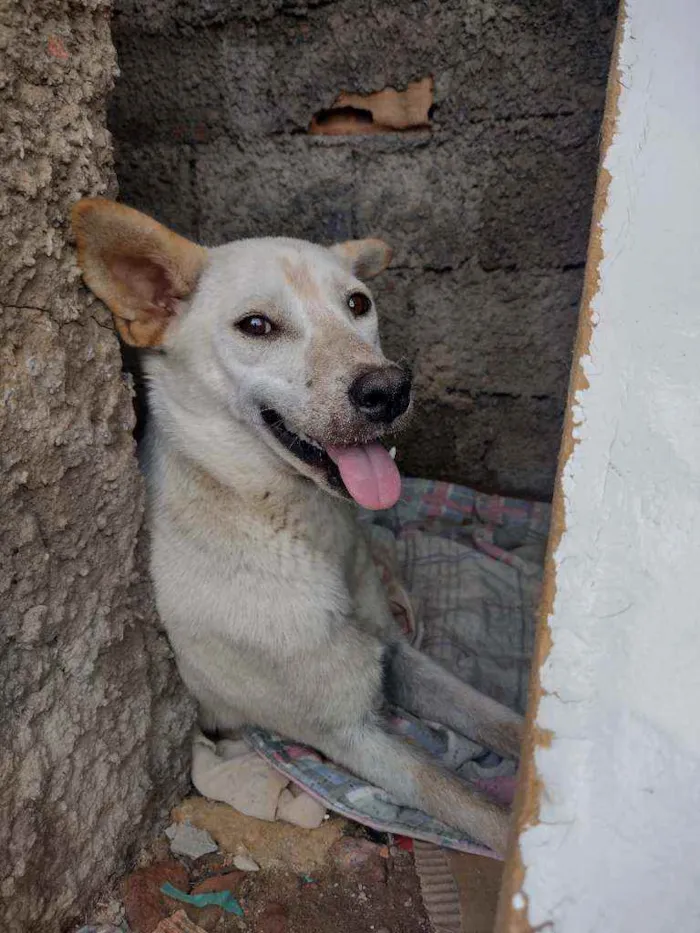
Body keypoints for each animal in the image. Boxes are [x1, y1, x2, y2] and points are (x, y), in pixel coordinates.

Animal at [72, 200, 520, 856]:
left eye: (358, 304)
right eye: (256, 325)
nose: (390, 389)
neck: (289, 524)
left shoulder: (396, 654)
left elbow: (495, 717)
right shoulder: (348, 731)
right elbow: (475, 808)